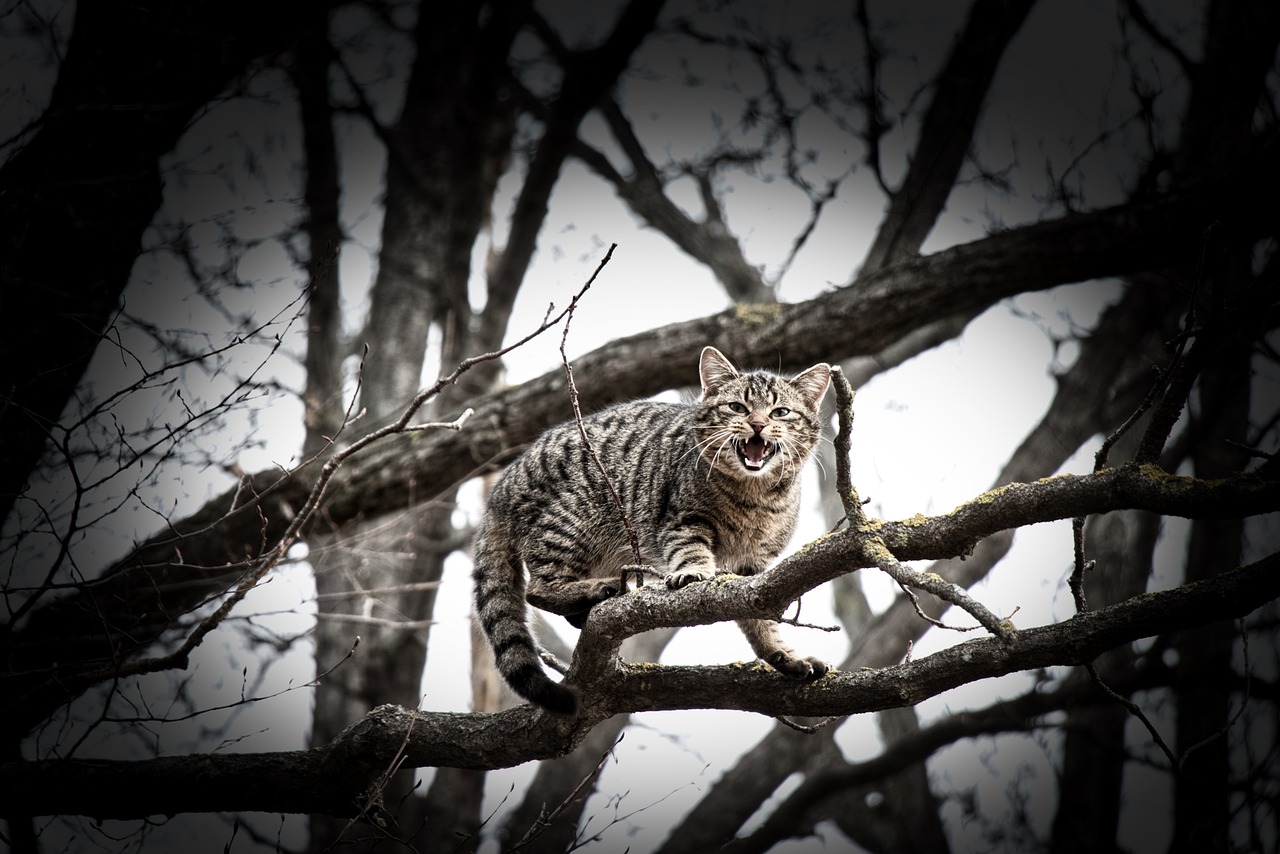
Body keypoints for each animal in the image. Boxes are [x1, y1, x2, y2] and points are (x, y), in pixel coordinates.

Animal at [471, 348, 829, 717]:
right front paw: (694, 572)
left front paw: (782, 654)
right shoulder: (681, 521)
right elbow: (692, 550)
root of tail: (503, 485)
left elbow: (759, 618)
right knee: (538, 589)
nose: (758, 424)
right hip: (571, 521)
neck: (754, 494)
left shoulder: (754, 570)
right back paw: (595, 589)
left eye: (780, 412)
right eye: (737, 407)